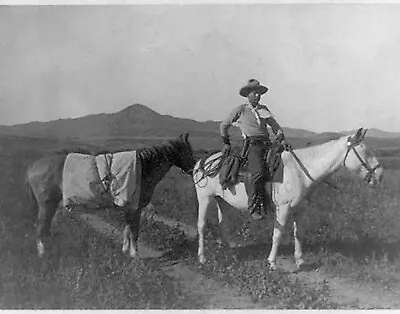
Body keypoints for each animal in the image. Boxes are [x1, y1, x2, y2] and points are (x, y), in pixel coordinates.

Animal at [26, 132, 195, 258]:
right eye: (188, 150)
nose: (193, 169)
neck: (142, 169)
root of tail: (33, 167)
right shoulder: (135, 208)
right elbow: (134, 231)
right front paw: (134, 255)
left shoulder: (129, 207)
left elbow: (127, 229)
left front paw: (125, 250)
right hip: (46, 204)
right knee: (39, 227)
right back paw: (43, 254)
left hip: (52, 203)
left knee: (45, 227)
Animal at [194, 127, 384, 270]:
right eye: (365, 151)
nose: (380, 175)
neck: (300, 171)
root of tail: (203, 162)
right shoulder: (283, 208)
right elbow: (278, 234)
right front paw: (272, 262)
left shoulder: (301, 208)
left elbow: (298, 233)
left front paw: (300, 260)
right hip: (204, 198)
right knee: (201, 225)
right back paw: (202, 257)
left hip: (221, 199)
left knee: (223, 223)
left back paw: (231, 250)